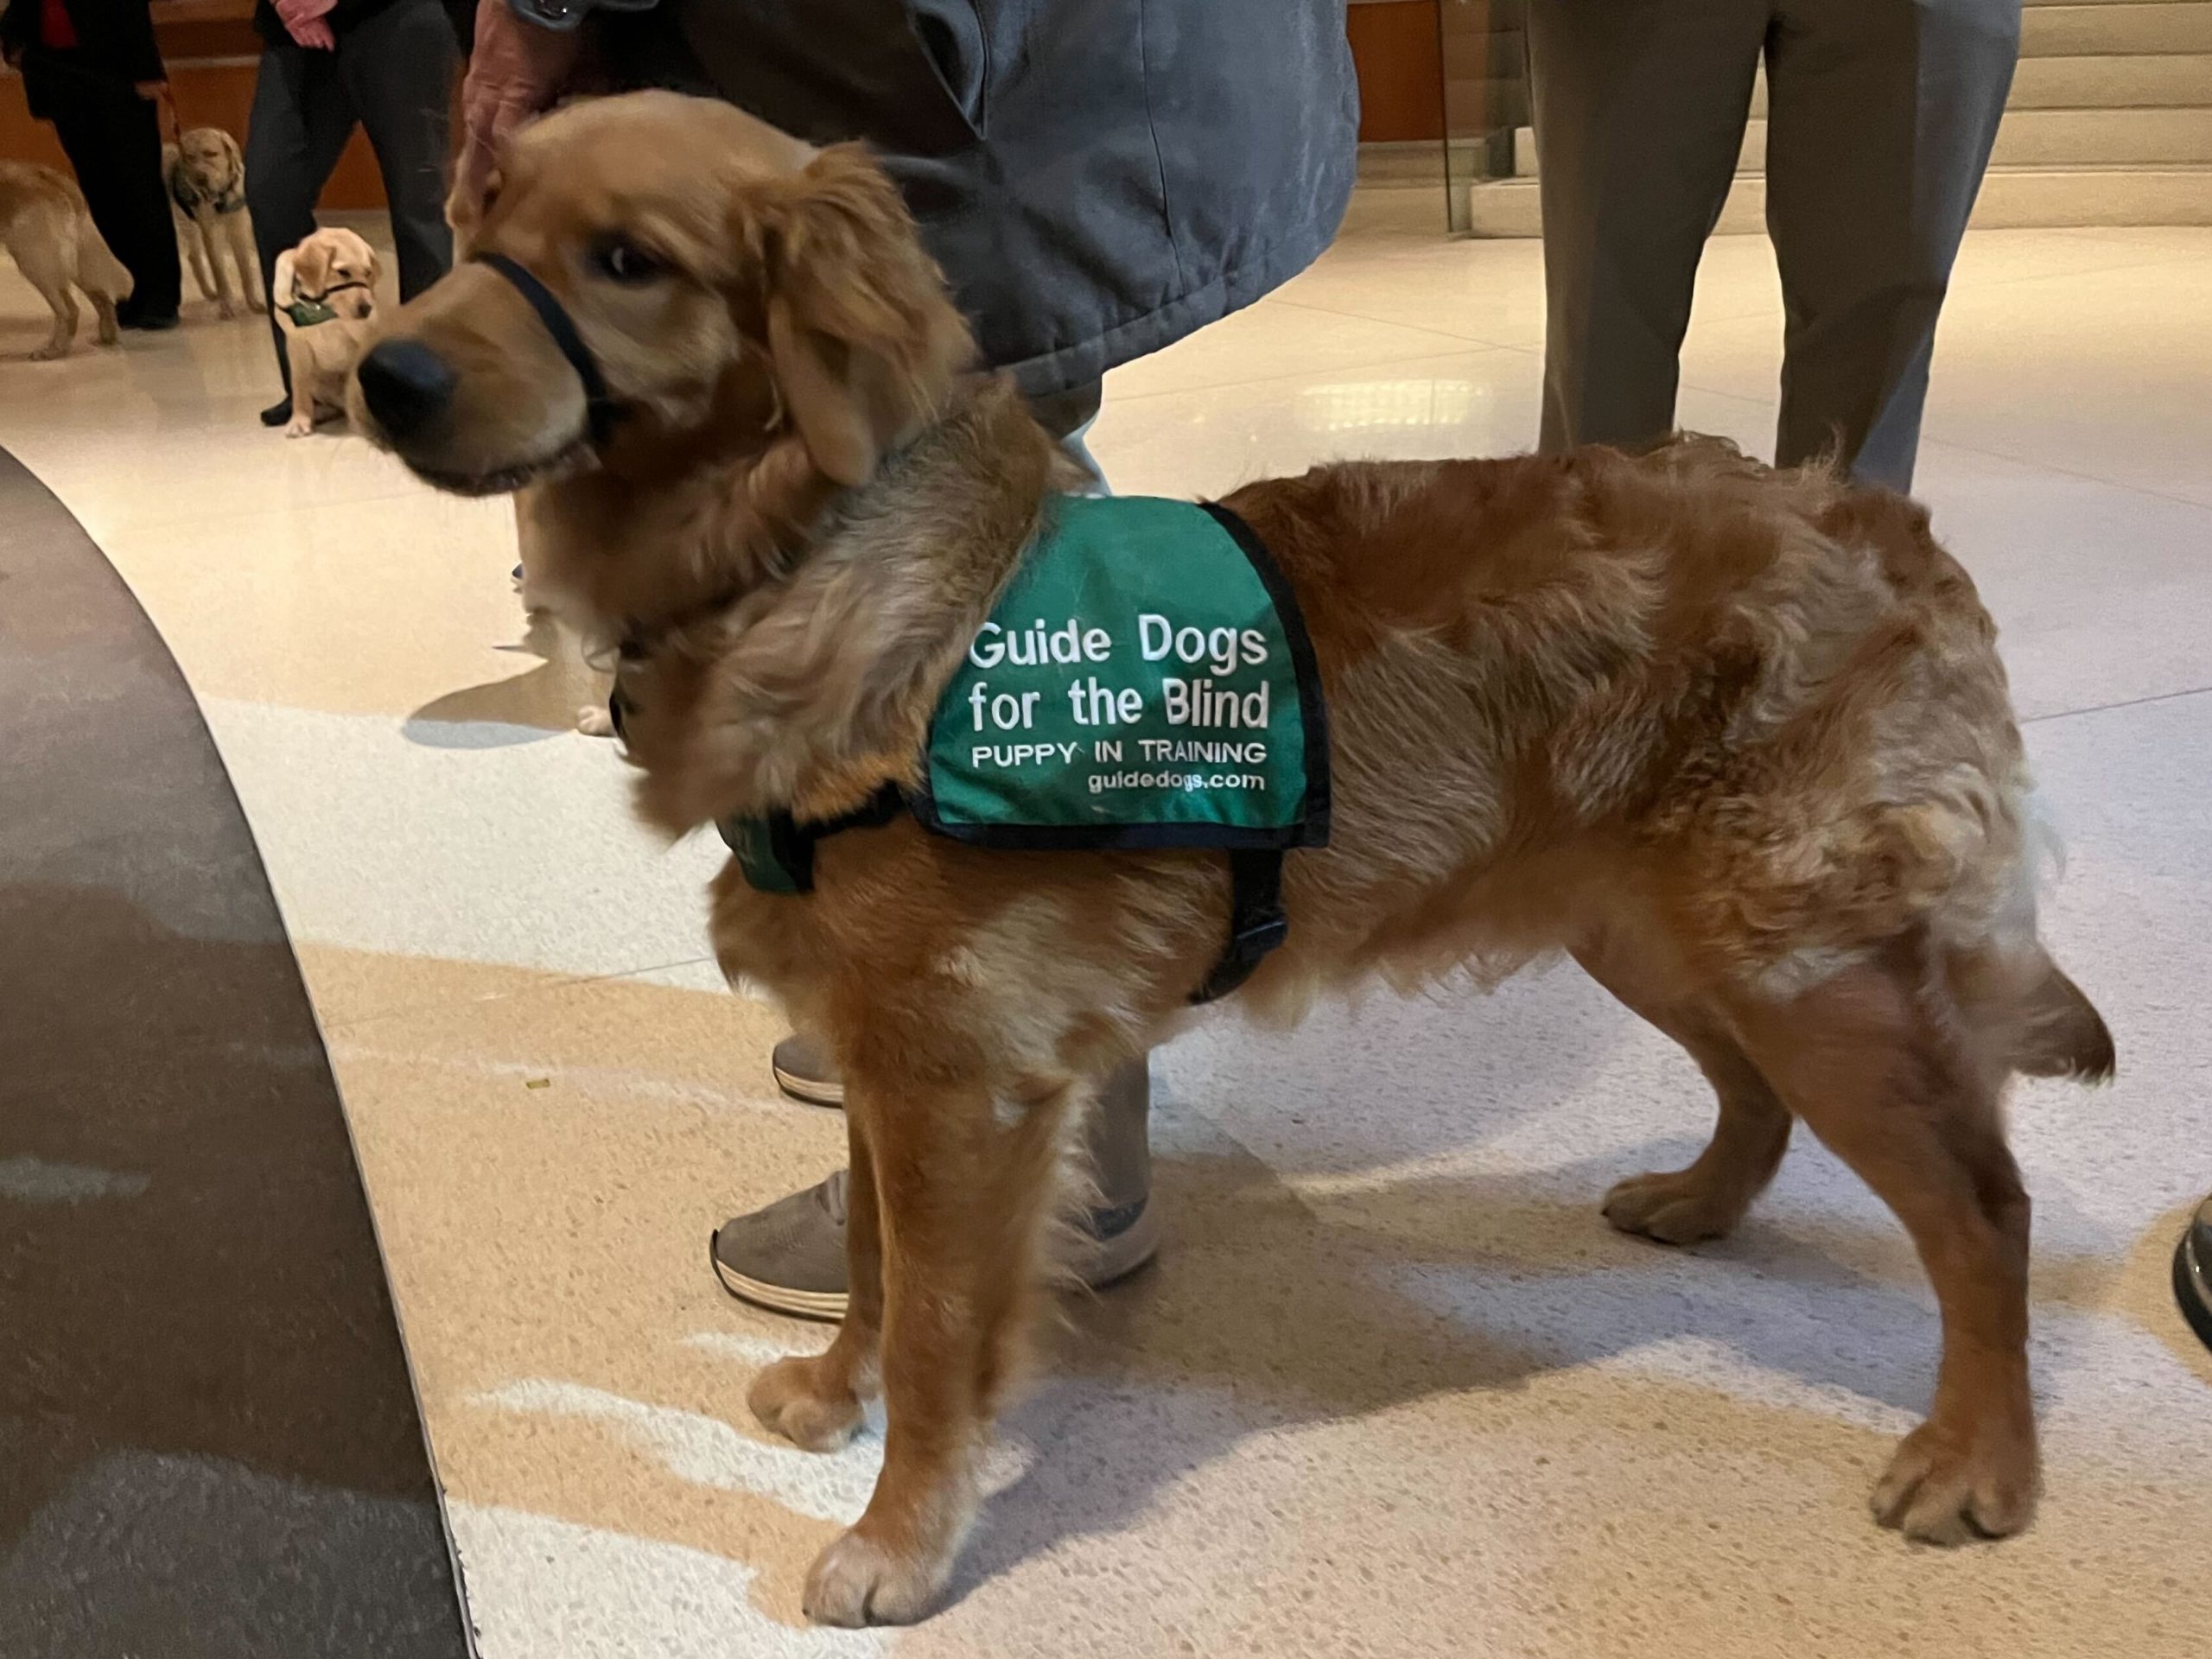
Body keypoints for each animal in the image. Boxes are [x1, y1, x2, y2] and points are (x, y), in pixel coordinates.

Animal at [0, 160, 130, 362]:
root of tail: (51, 176)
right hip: (68, 265)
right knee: (100, 300)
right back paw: (106, 338)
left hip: (36, 262)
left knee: (68, 311)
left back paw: (53, 351)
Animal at [163, 126, 263, 321]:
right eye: (190, 157)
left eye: (211, 154)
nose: (200, 178)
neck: (222, 195)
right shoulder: (211, 233)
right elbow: (220, 275)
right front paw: (227, 305)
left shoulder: (239, 231)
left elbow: (246, 272)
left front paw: (253, 303)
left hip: (189, 227)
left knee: (193, 258)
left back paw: (209, 292)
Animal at [349, 93, 2106, 1637]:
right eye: (478, 221)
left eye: (626, 259)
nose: (382, 373)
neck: (829, 576)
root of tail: (1886, 521)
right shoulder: (880, 1051)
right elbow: (867, 1262)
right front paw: (836, 1399)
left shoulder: (961, 1084)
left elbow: (934, 1328)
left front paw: (901, 1542)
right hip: (1659, 932)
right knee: (1757, 1095)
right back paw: (1700, 1201)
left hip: (1797, 961)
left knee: (1986, 1208)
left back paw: (1976, 1458)